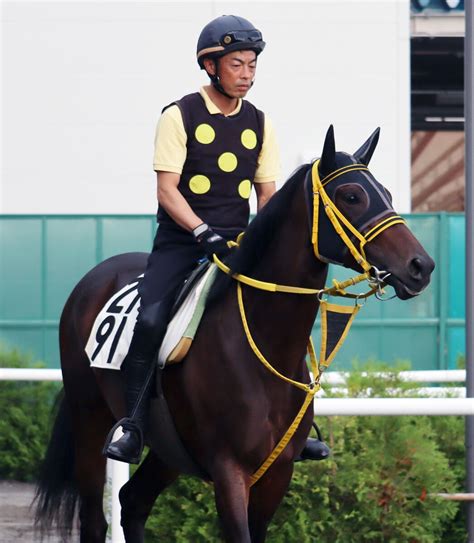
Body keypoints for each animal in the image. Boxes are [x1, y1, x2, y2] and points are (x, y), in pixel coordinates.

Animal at [32, 125, 434, 540]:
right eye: (351, 196)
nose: (420, 265)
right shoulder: (229, 471)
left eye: (387, 193)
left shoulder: (277, 472)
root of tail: (94, 278)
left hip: (168, 448)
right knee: (96, 518)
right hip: (90, 418)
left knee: (133, 501)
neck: (267, 345)